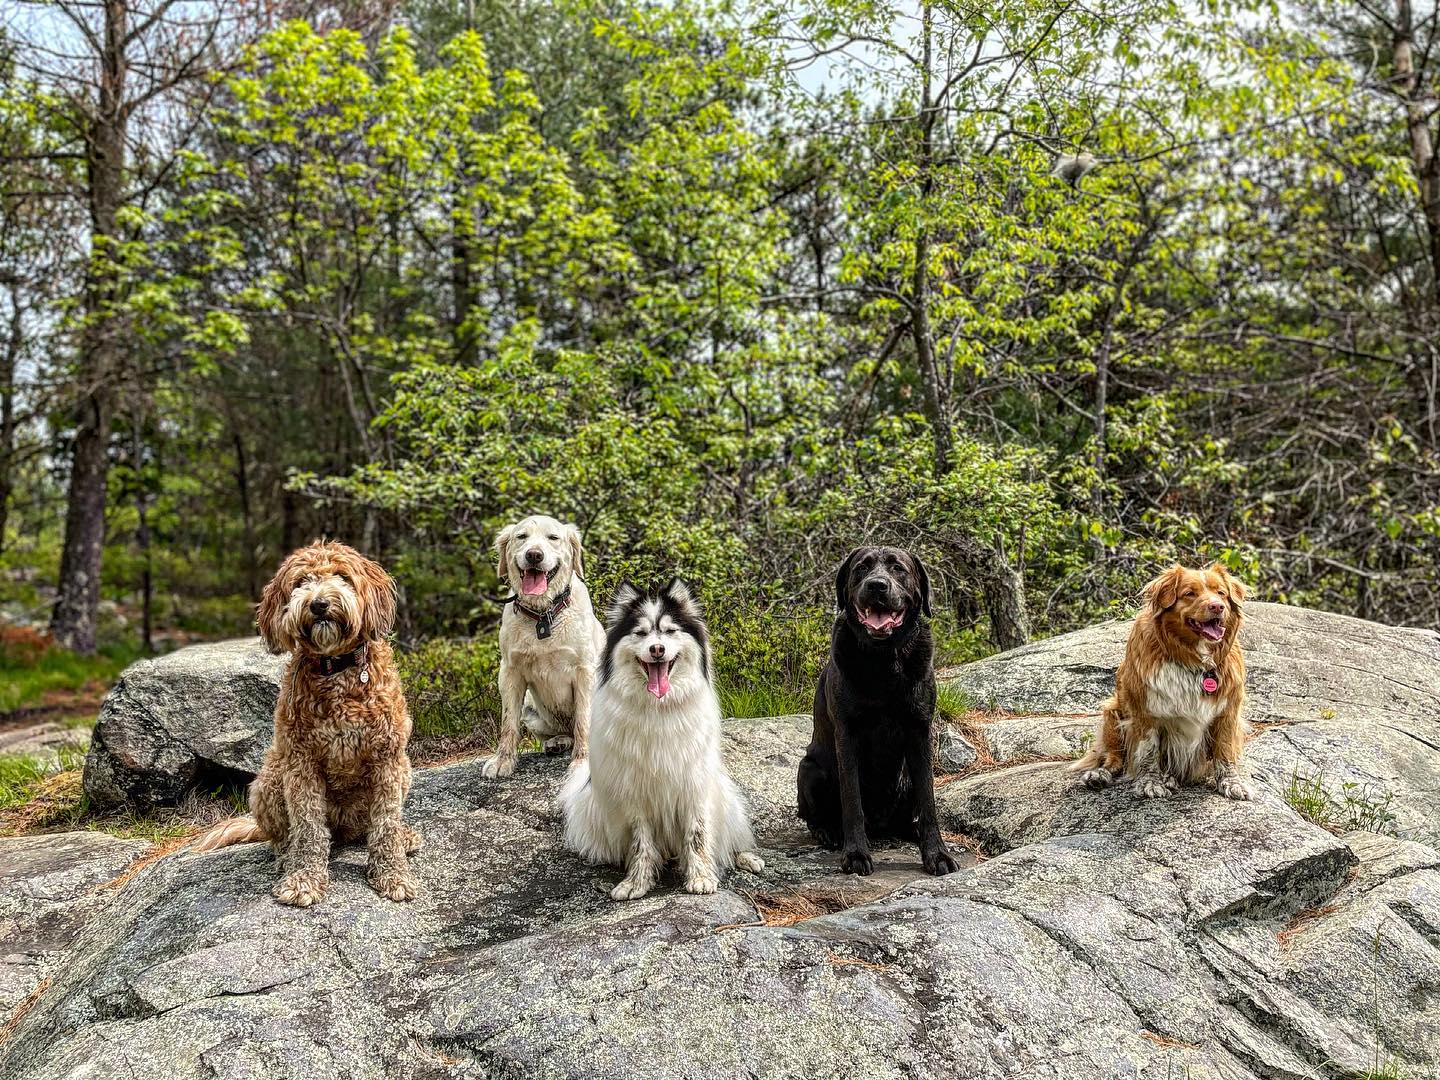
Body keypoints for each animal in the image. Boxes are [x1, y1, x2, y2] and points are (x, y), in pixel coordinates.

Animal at [191, 541, 420, 904]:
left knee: (372, 828)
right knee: (283, 837)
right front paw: (304, 880)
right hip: (270, 779)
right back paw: (288, 858)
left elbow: (385, 825)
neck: (337, 670)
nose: (319, 603)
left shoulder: (387, 759)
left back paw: (403, 835)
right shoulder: (301, 764)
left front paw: (393, 875)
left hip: (404, 770)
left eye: (342, 576)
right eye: (300, 582)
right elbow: (308, 828)